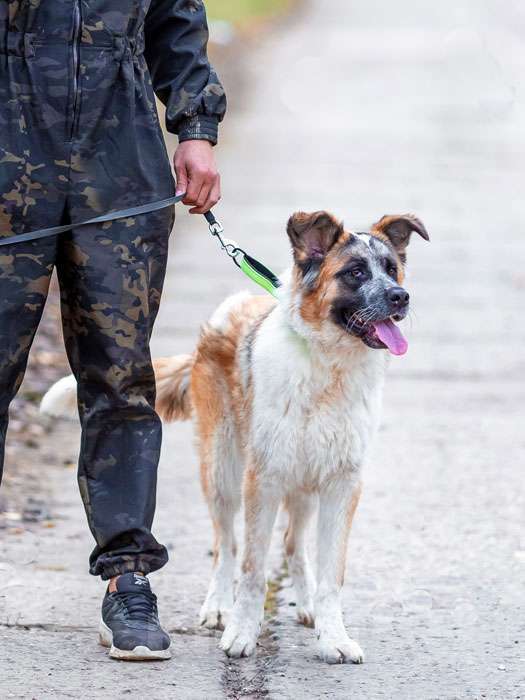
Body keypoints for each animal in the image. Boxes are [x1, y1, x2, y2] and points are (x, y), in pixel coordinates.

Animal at [40, 211, 426, 664]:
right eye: (355, 272)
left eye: (391, 269)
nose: (400, 297)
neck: (326, 365)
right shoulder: (262, 480)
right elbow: (253, 569)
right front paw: (242, 632)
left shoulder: (342, 484)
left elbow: (332, 574)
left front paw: (332, 636)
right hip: (223, 473)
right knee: (226, 546)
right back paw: (219, 606)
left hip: (303, 484)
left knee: (293, 544)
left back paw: (306, 603)